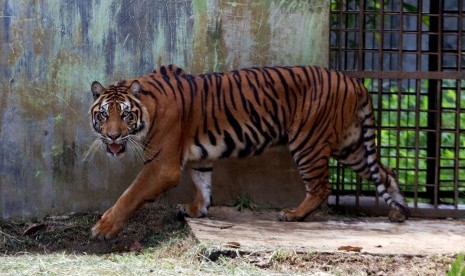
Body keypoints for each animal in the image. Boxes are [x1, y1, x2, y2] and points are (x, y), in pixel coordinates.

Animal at [89, 64, 408, 239]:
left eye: (126, 115)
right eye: (104, 115)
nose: (112, 136)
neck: (148, 108)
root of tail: (354, 81)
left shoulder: (161, 165)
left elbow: (130, 195)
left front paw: (103, 228)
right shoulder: (199, 158)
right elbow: (203, 184)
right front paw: (196, 209)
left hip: (309, 141)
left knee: (321, 187)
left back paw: (293, 215)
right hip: (350, 145)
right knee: (386, 172)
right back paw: (398, 212)